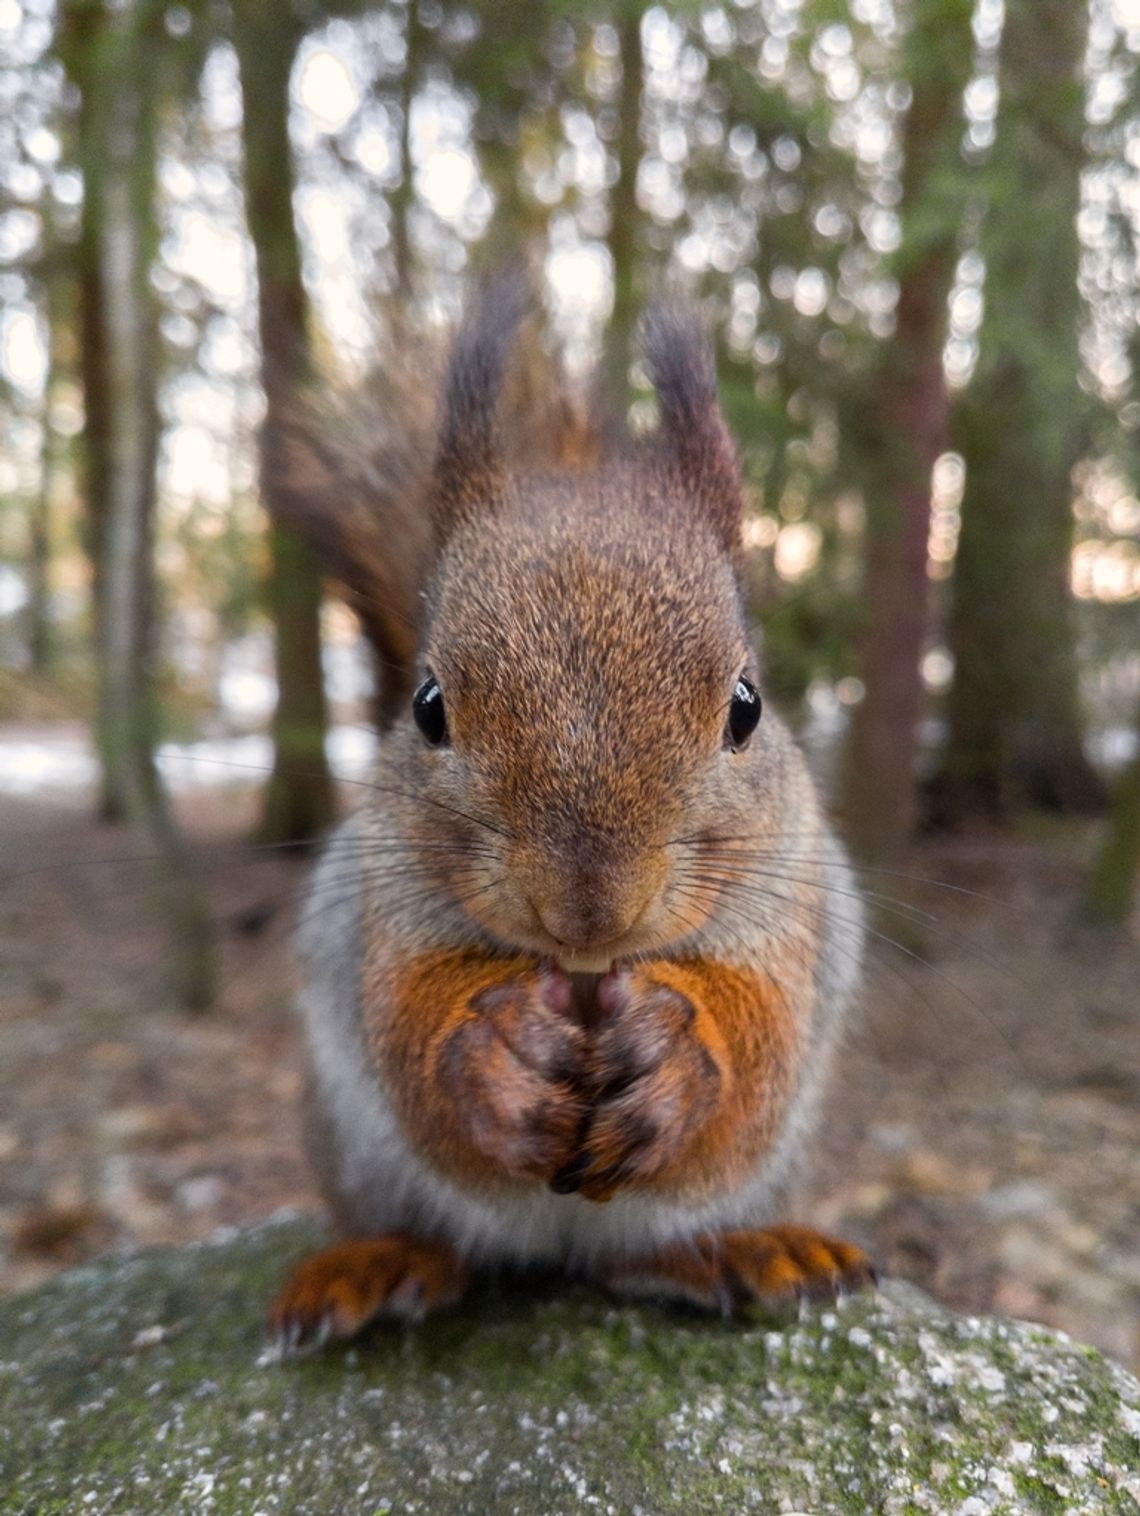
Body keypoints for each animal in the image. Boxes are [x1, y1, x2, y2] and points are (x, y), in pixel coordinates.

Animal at [266, 278, 873, 1358]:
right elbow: (407, 1024)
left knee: (644, 1253)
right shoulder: (381, 910)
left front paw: (679, 1056)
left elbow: (765, 1031)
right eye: (428, 706)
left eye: (747, 706)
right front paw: (496, 1055)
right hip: (352, 1149)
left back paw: (741, 1251)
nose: (591, 911)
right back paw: (379, 1258)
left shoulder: (793, 905)